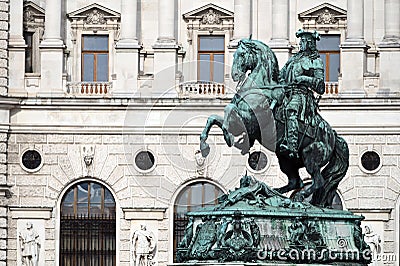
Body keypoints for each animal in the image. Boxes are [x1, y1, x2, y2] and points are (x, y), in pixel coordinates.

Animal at [198, 38, 348, 207]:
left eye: (242, 54)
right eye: (235, 53)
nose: (235, 75)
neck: (259, 88)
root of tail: (333, 136)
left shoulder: (249, 121)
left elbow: (229, 110)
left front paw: (228, 137)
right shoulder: (239, 123)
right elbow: (213, 117)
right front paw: (204, 146)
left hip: (311, 156)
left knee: (318, 181)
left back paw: (297, 196)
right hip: (286, 160)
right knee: (296, 182)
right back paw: (273, 193)